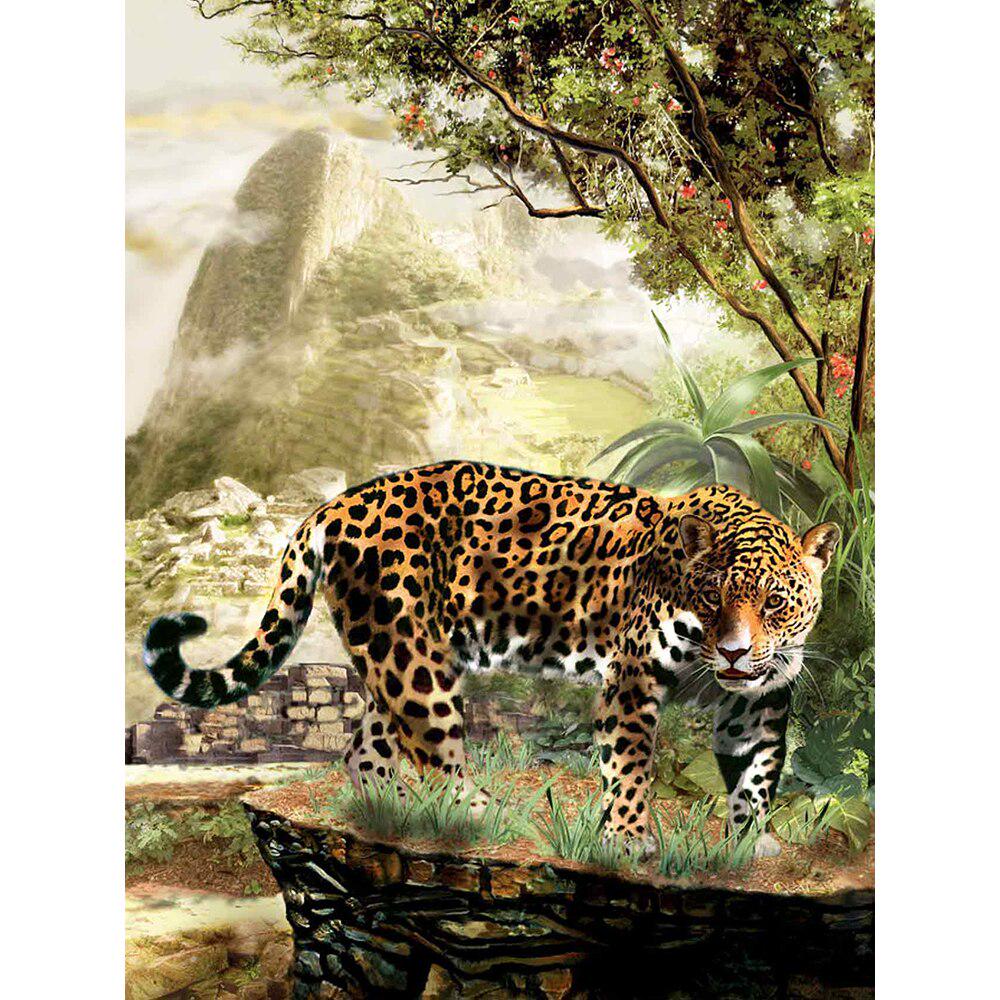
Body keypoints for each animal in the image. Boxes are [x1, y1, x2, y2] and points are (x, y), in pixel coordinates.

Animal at [143, 460, 839, 856]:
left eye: (775, 602)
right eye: (712, 596)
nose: (735, 652)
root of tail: (333, 505)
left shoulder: (762, 700)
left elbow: (756, 771)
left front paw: (749, 843)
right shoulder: (632, 679)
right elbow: (631, 765)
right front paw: (630, 841)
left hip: (398, 656)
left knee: (366, 747)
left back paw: (391, 815)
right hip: (413, 660)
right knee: (436, 755)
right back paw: (490, 821)